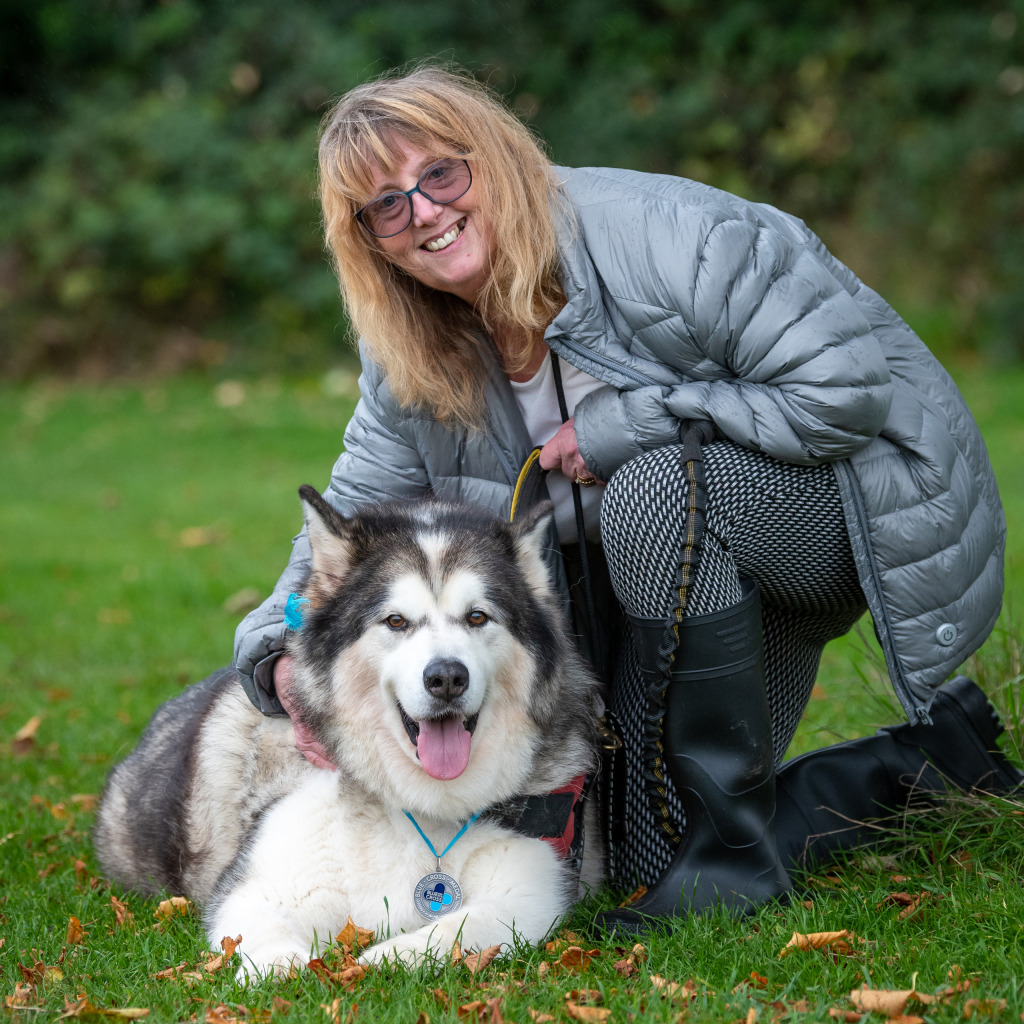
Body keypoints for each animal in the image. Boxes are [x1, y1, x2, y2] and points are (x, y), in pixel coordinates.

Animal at [94, 491, 598, 978]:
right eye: (396, 621)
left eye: (477, 617)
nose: (447, 677)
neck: (420, 803)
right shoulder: (261, 883)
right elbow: (258, 927)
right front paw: (279, 964)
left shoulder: (533, 890)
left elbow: (462, 928)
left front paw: (389, 957)